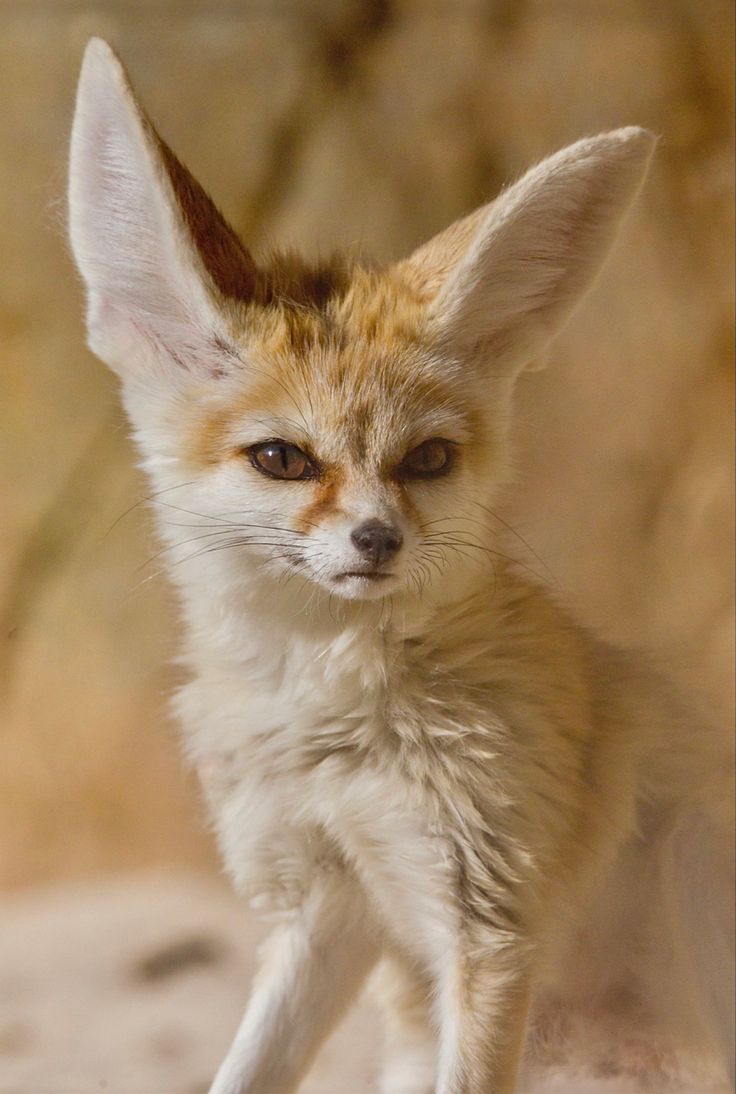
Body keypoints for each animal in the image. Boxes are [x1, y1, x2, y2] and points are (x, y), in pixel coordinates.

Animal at [66, 38, 730, 1094]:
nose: (378, 540)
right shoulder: (323, 906)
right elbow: (242, 1071)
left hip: (697, 866)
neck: (335, 723)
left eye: (428, 461)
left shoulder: (488, 921)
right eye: (283, 458)